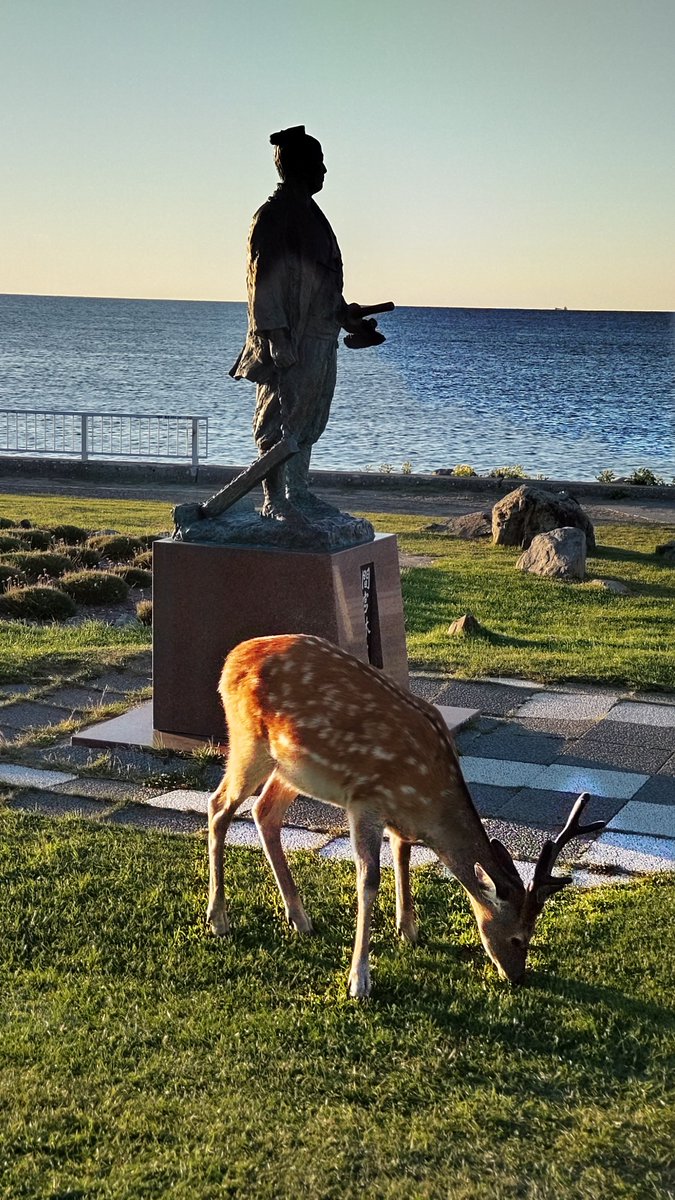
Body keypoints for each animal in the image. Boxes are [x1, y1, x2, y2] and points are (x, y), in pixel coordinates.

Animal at [206, 634, 605, 997]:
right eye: (519, 938)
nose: (517, 977)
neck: (427, 800)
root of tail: (230, 659)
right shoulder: (365, 800)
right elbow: (368, 880)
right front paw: (359, 980)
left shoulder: (400, 817)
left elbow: (403, 856)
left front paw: (409, 930)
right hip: (247, 740)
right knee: (219, 806)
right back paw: (219, 919)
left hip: (292, 769)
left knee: (264, 811)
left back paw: (300, 919)